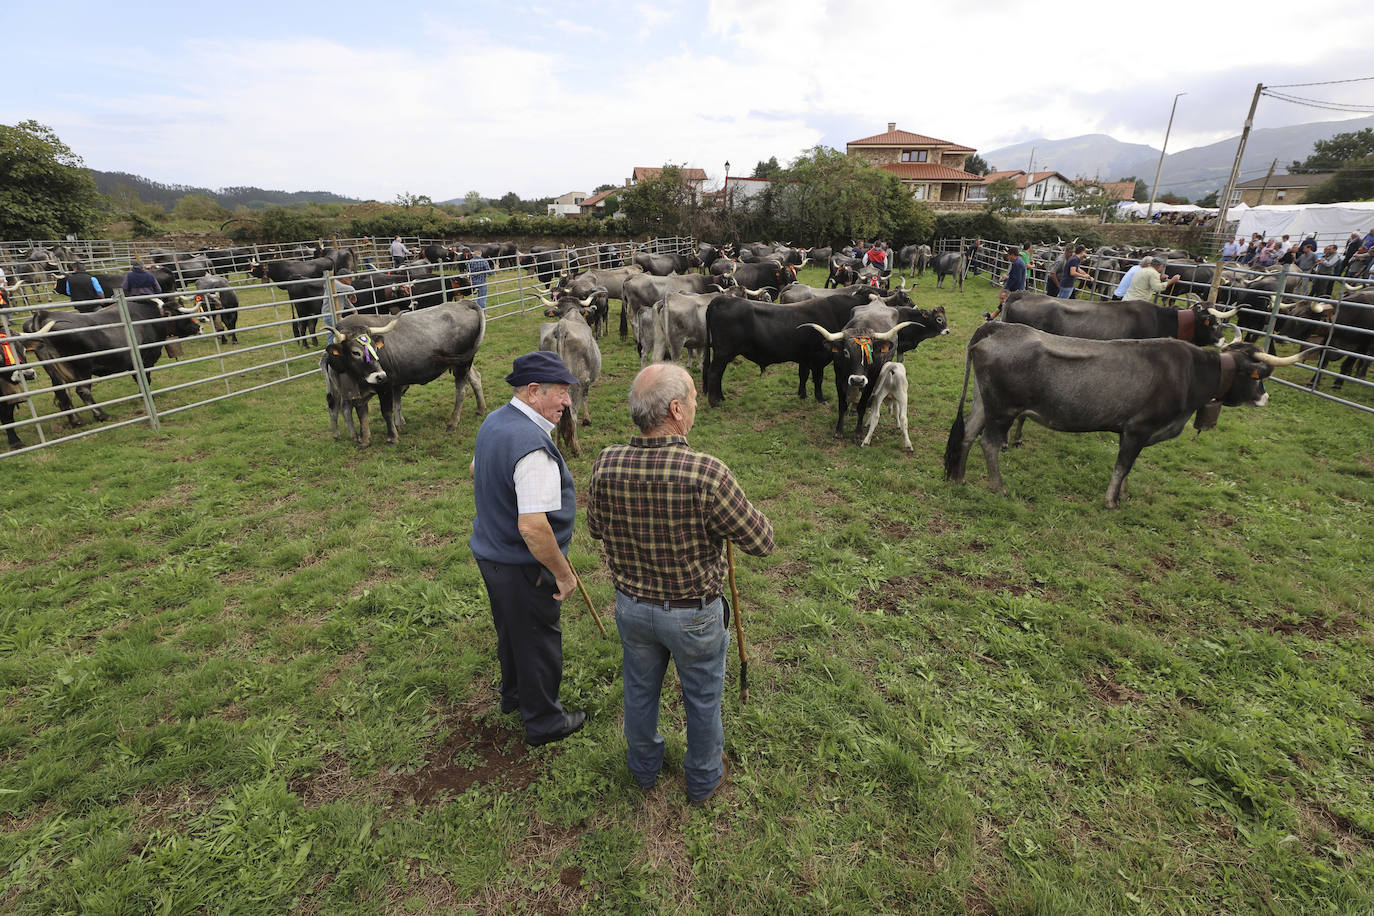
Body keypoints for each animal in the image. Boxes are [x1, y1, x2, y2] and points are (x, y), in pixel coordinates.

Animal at [20, 300, 203, 431]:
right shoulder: (145, 360)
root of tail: (43, 314)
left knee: (63, 393)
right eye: (179, 314)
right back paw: (102, 415)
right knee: (82, 391)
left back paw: (76, 421)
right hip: (82, 369)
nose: (198, 327)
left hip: (55, 373)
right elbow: (144, 379)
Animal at [322, 299, 489, 444]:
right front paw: (364, 440)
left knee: (461, 388)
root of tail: (463, 303)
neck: (357, 379)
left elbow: (386, 411)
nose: (379, 375)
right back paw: (481, 409)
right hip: (461, 361)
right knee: (475, 378)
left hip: (463, 364)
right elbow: (362, 413)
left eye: (375, 348)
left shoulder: (385, 386)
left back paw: (453, 422)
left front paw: (392, 437)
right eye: (355, 352)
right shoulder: (362, 393)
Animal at [535, 293, 601, 458]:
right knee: (573, 413)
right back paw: (576, 449)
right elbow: (585, 397)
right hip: (575, 384)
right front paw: (587, 420)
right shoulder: (586, 381)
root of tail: (561, 328)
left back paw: (558, 446)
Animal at [945, 322, 1308, 508]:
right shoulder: (1138, 428)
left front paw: (1124, 494)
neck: (1190, 373)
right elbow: (1123, 466)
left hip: (984, 402)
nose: (1265, 398)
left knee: (968, 433)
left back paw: (959, 477)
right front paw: (1111, 501)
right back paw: (999, 488)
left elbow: (1128, 469)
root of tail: (999, 329)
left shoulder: (1136, 433)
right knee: (989, 444)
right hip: (1004, 409)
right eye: (1259, 375)